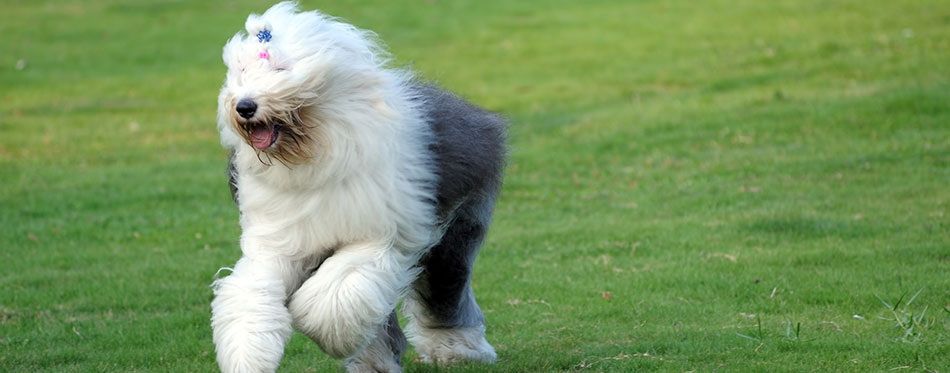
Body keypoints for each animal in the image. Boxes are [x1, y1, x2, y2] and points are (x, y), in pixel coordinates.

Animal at [208, 2, 506, 372]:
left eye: (280, 68)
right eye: (242, 71)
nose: (244, 106)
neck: (316, 158)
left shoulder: (376, 239)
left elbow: (335, 295)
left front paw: (314, 323)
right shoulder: (280, 241)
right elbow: (251, 292)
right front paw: (248, 354)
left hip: (454, 231)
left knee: (444, 287)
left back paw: (458, 348)